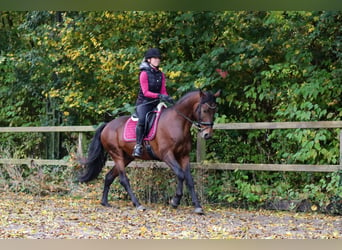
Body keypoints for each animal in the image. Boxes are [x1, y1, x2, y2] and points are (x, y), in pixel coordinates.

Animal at [79, 90, 220, 215]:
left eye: (214, 110)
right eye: (205, 110)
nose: (207, 134)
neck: (177, 123)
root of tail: (107, 125)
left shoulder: (184, 156)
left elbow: (189, 179)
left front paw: (198, 207)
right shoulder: (167, 155)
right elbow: (180, 174)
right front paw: (175, 201)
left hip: (127, 157)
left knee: (109, 176)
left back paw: (105, 202)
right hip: (117, 155)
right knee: (124, 180)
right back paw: (138, 204)